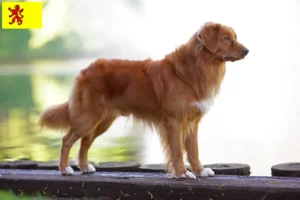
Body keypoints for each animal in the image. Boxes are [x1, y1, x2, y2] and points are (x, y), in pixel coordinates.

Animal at [39, 21, 248, 178]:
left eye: (235, 37)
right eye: (227, 39)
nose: (247, 51)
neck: (198, 66)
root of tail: (85, 69)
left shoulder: (192, 122)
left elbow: (193, 150)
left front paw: (200, 170)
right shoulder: (174, 121)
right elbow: (178, 151)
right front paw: (182, 173)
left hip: (102, 121)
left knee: (84, 142)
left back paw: (84, 167)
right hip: (88, 118)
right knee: (67, 139)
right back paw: (65, 169)